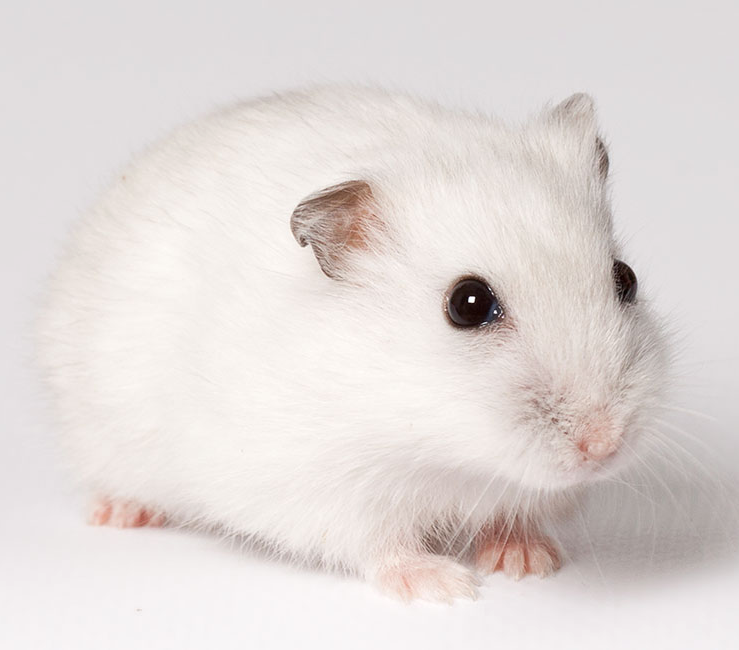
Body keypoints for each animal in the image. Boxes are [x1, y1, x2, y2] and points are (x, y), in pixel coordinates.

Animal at [35, 85, 669, 602]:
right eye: (467, 304)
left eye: (626, 278)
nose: (603, 446)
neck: (440, 447)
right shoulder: (325, 489)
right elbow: (378, 544)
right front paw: (445, 588)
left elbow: (514, 517)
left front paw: (528, 561)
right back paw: (120, 514)